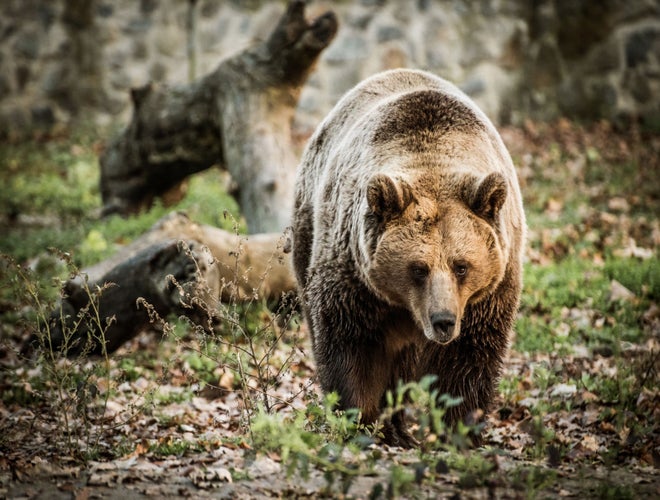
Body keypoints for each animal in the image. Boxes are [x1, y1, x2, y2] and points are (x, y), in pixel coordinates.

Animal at [291, 69, 525, 446]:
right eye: (418, 268)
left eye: (462, 266)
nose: (443, 320)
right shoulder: (355, 277)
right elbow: (352, 346)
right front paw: (360, 420)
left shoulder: (489, 290)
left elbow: (468, 357)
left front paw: (460, 429)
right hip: (307, 226)